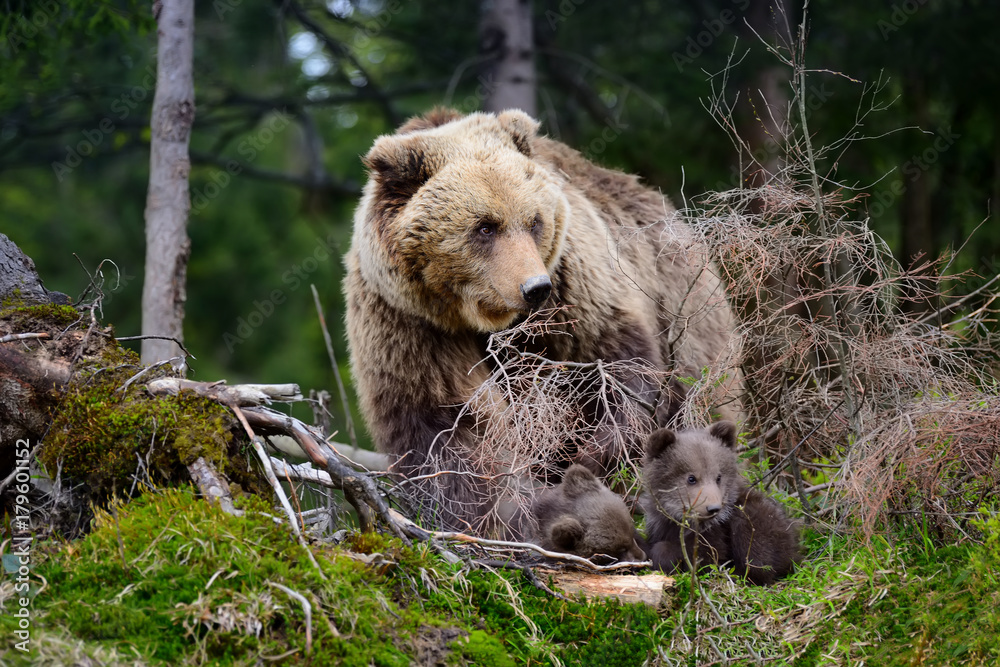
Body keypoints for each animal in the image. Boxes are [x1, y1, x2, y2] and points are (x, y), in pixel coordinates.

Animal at [348, 111, 740, 536]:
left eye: (534, 221)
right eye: (485, 226)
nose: (534, 287)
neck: (486, 321)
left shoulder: (574, 293)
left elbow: (620, 372)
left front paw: (588, 461)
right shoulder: (411, 325)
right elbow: (445, 430)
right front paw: (490, 518)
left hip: (689, 313)